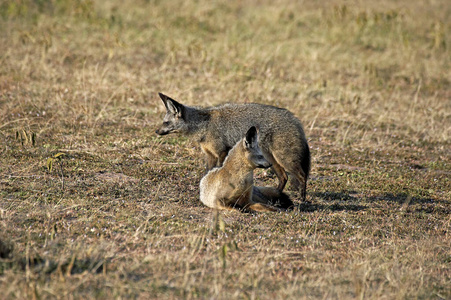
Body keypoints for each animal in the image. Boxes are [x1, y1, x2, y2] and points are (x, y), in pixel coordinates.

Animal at [155, 91, 310, 199]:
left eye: (166, 123)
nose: (156, 131)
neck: (205, 124)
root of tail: (295, 119)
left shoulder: (221, 152)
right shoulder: (210, 155)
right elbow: (207, 173)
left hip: (285, 160)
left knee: (302, 176)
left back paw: (302, 200)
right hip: (271, 160)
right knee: (284, 177)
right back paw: (276, 197)